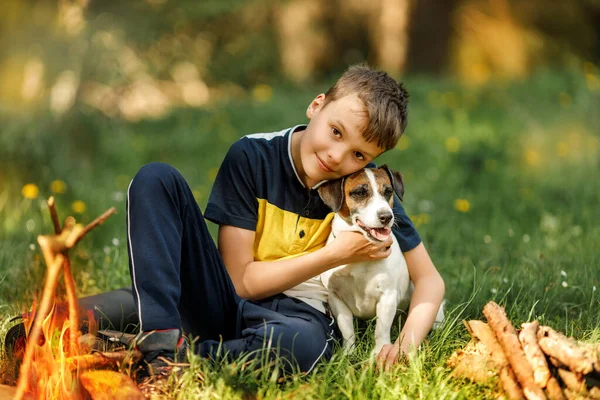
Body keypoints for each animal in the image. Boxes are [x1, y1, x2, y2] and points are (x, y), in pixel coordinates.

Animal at [318, 166, 446, 356]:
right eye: (360, 192)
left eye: (388, 191)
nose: (386, 216)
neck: (360, 259)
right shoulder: (336, 298)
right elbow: (347, 329)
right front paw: (348, 354)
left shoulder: (387, 296)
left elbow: (381, 329)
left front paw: (379, 352)